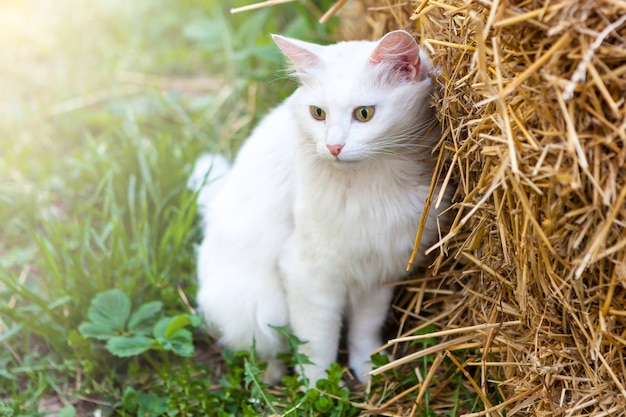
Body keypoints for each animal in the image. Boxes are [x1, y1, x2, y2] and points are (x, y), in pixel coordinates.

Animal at [188, 30, 446, 384]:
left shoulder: (378, 271)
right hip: (261, 307)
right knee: (261, 349)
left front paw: (368, 371)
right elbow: (317, 345)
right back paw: (270, 378)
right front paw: (317, 387)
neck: (374, 184)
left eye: (364, 114)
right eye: (318, 114)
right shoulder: (309, 276)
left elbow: (365, 330)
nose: (333, 147)